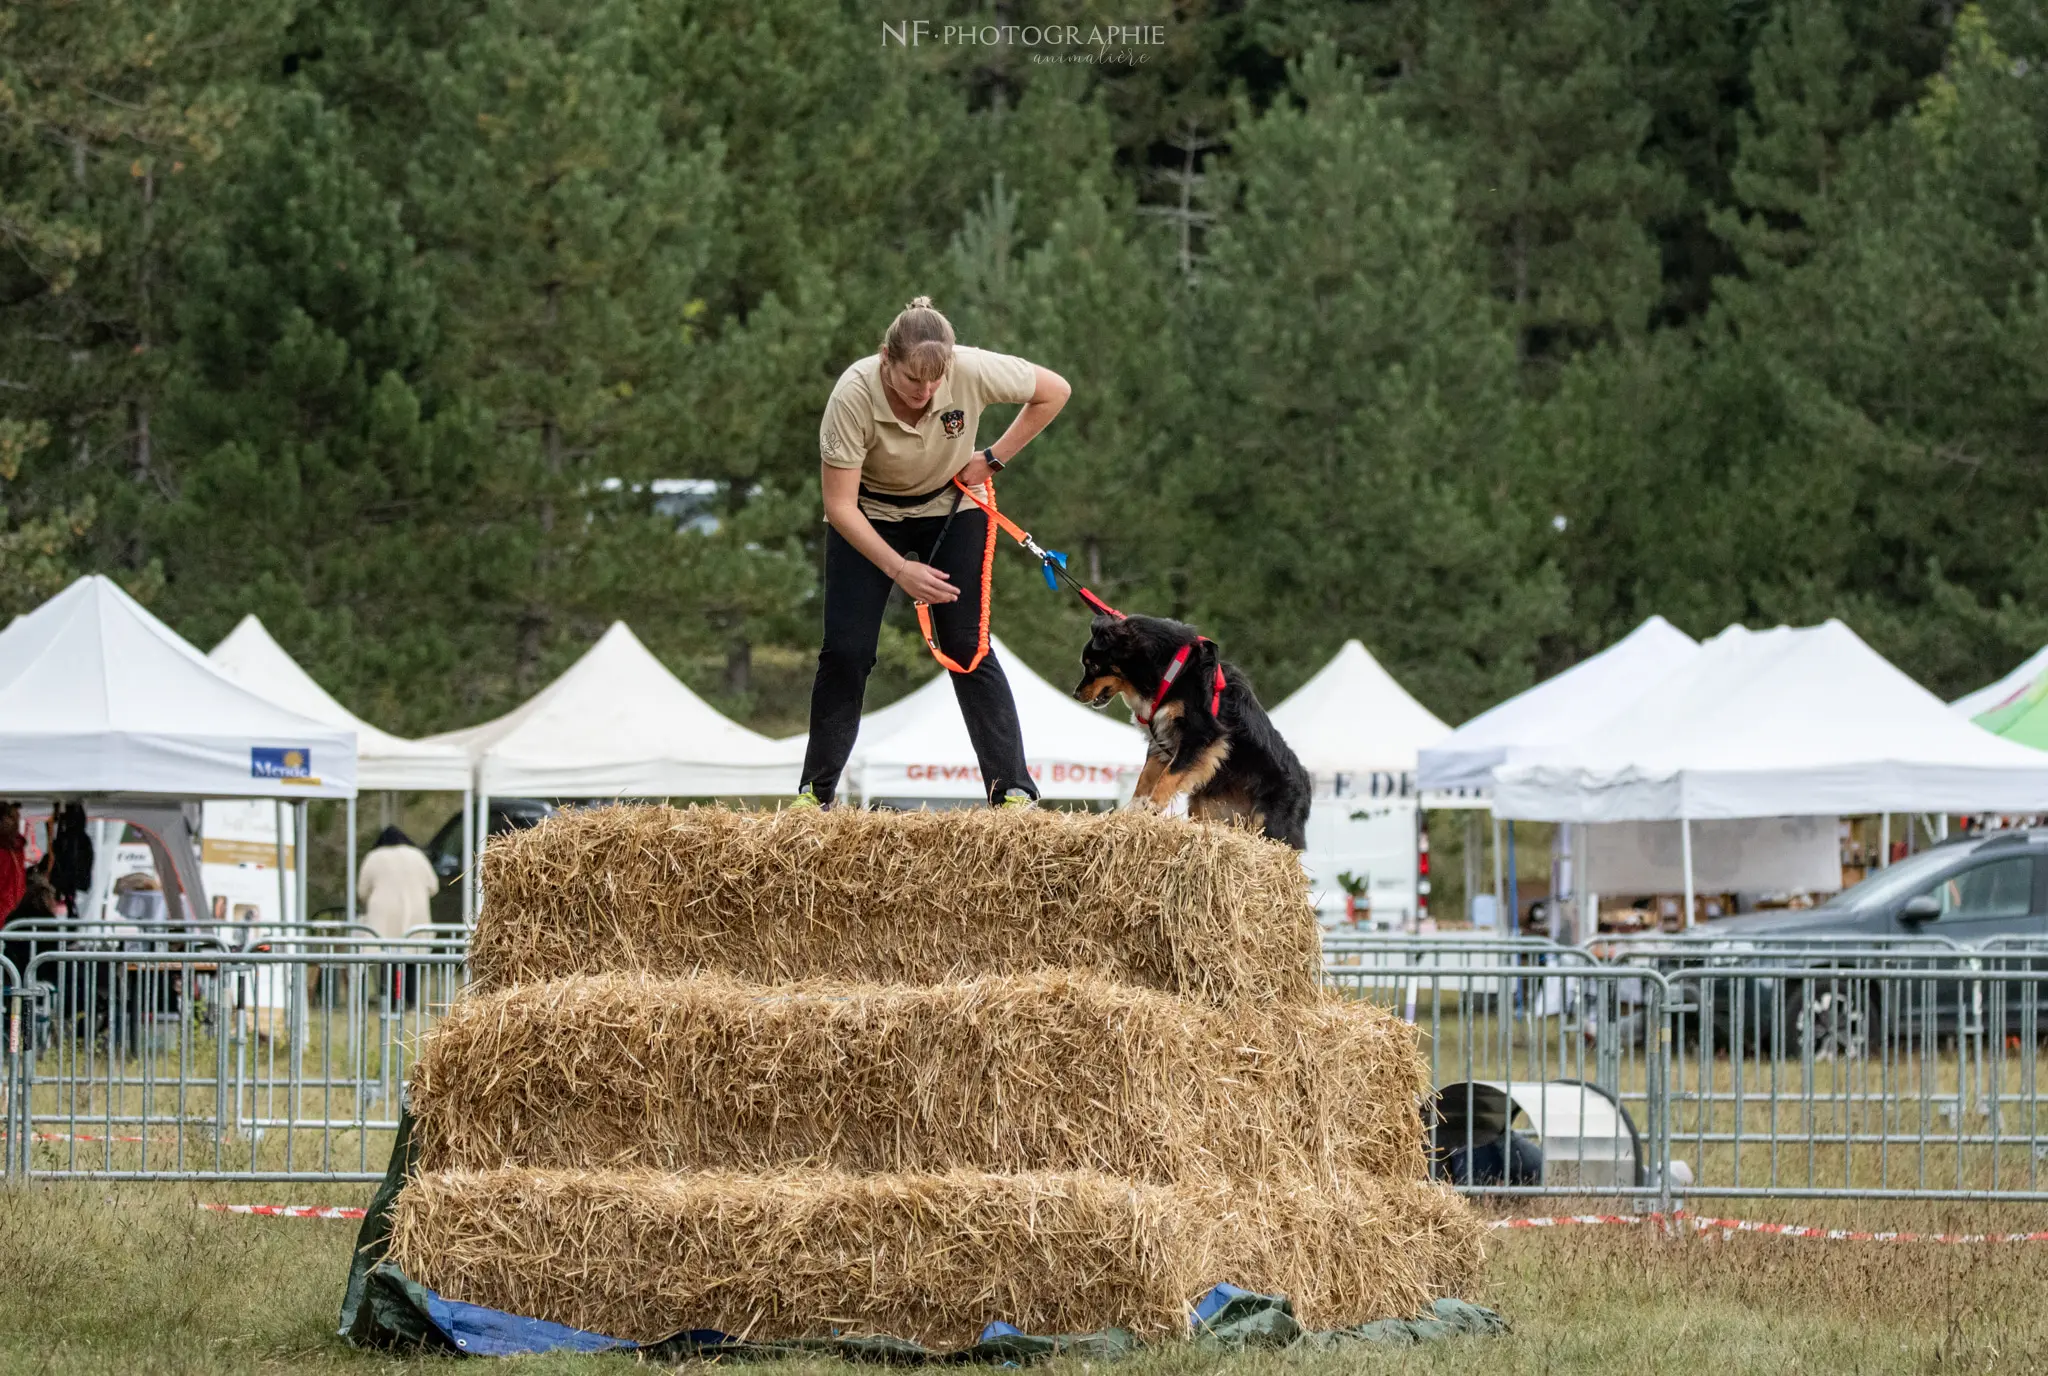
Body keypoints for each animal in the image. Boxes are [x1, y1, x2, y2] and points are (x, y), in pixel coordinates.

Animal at [1073, 614, 1310, 847]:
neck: (1168, 671)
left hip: (1269, 823)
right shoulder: (1162, 739)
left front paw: (1152, 808)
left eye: (1093, 666)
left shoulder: (1200, 734)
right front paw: (1131, 812)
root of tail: (1307, 789)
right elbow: (1145, 778)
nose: (1076, 694)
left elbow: (1168, 775)